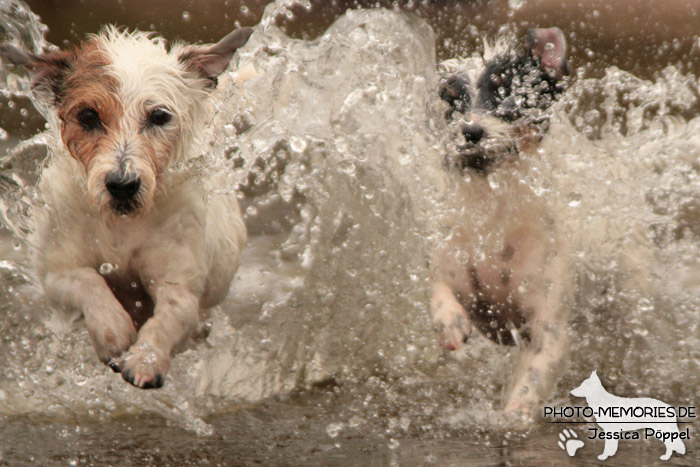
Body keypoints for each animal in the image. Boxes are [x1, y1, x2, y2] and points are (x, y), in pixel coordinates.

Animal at [0, 27, 252, 390]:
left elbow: (169, 318)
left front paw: (145, 358)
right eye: (88, 116)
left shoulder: (181, 287)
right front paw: (113, 331)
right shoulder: (56, 273)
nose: (122, 184)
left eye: (159, 116)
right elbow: (88, 282)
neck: (120, 225)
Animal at [430, 28, 572, 416]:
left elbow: (530, 383)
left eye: (506, 90)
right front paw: (449, 324)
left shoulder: (548, 329)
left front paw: (514, 416)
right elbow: (438, 291)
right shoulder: (457, 270)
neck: (495, 210)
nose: (471, 130)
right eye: (453, 101)